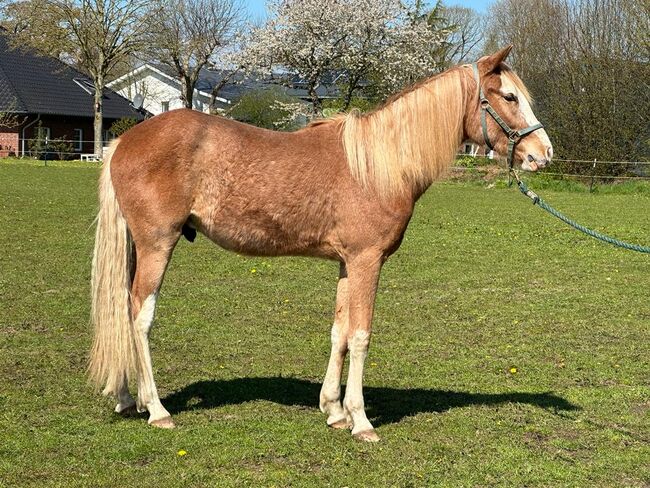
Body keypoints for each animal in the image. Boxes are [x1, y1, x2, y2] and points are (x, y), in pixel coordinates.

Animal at [87, 46, 552, 442]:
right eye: (509, 96)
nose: (542, 154)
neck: (379, 165)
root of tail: (123, 141)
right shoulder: (367, 261)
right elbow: (361, 336)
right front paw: (361, 421)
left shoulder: (349, 263)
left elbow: (339, 332)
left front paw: (334, 410)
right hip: (157, 245)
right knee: (139, 316)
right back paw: (156, 408)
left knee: (121, 309)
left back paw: (126, 398)